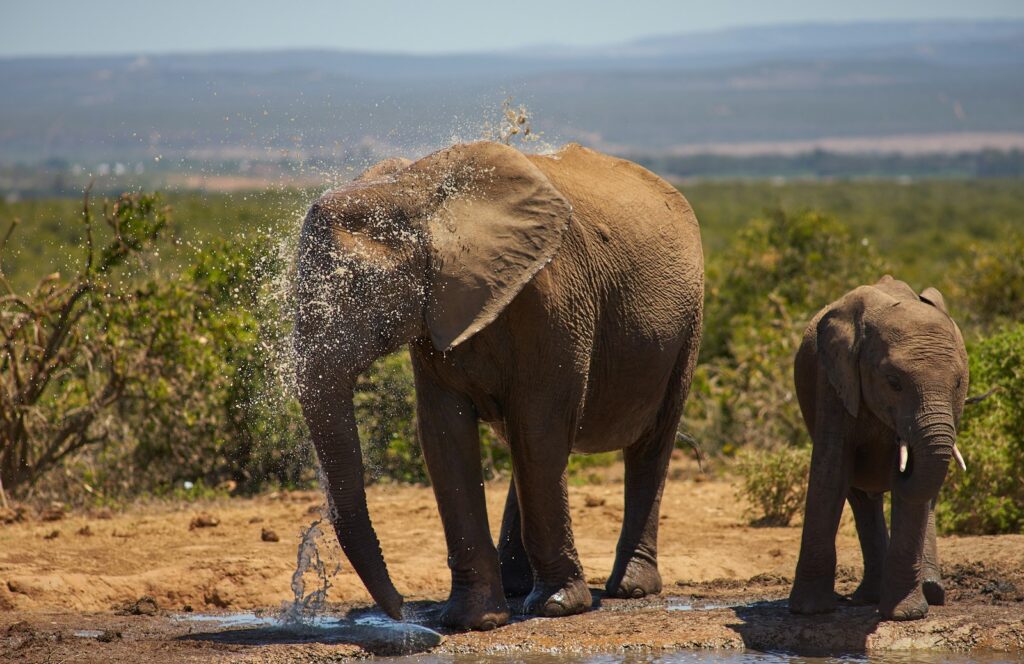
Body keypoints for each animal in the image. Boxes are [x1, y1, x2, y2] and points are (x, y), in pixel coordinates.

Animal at [292, 142, 704, 631]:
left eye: (361, 285)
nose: (401, 610)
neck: (418, 188)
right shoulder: (437, 310)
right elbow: (444, 435)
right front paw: (474, 620)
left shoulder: (553, 300)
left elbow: (539, 427)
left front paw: (558, 608)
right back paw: (515, 588)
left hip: (686, 324)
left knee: (646, 441)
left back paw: (630, 589)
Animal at [789, 275, 969, 620]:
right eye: (893, 382)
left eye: (958, 384)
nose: (897, 445)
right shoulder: (833, 380)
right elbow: (831, 473)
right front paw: (808, 611)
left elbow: (914, 495)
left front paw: (904, 615)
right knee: (861, 499)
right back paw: (869, 597)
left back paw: (930, 592)